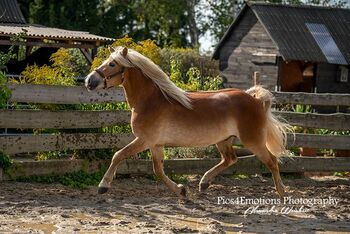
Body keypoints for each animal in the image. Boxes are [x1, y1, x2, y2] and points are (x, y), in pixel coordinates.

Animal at [85, 46, 290, 198]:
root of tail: (254, 100)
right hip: (224, 140)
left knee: (272, 162)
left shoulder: (144, 140)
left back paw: (281, 194)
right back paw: (204, 183)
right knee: (230, 159)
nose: (89, 81)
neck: (151, 100)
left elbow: (118, 155)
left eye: (112, 63)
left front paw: (103, 186)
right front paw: (181, 191)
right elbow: (158, 170)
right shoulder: (156, 144)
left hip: (253, 141)